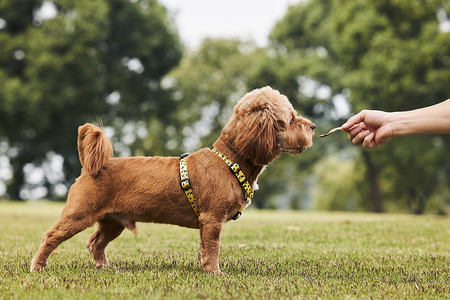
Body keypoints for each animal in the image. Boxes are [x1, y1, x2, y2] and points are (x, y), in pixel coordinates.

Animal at [29, 86, 314, 274]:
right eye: (290, 119)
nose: (312, 126)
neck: (229, 160)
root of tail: (92, 167)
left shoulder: (205, 224)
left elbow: (204, 248)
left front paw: (205, 267)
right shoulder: (211, 219)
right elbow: (213, 248)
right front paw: (214, 272)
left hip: (113, 221)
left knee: (95, 243)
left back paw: (103, 266)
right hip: (79, 214)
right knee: (50, 236)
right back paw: (38, 265)